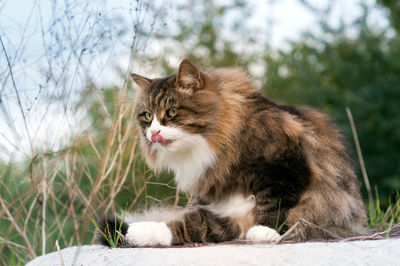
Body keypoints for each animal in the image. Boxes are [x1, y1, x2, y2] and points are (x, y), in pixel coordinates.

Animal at [96, 59, 366, 246]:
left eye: (171, 112)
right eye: (147, 116)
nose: (153, 133)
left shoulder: (283, 162)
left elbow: (276, 201)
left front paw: (266, 231)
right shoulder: (217, 201)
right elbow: (194, 222)